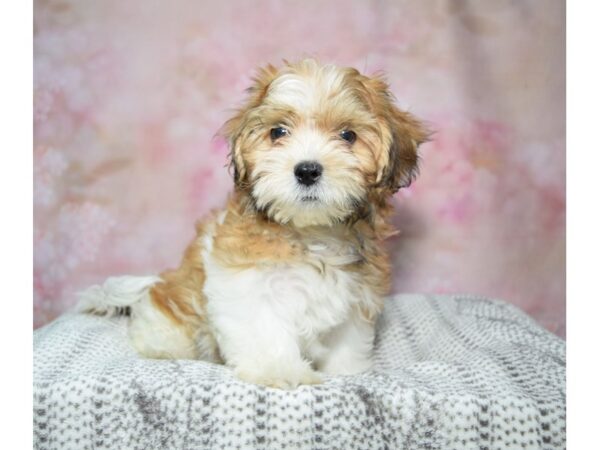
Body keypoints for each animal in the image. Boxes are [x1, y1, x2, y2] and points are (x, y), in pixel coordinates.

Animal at [77, 59, 428, 388]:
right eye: (278, 132)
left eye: (348, 135)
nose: (307, 170)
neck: (311, 232)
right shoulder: (247, 286)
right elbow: (265, 333)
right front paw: (281, 371)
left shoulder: (357, 296)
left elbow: (347, 341)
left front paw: (346, 372)